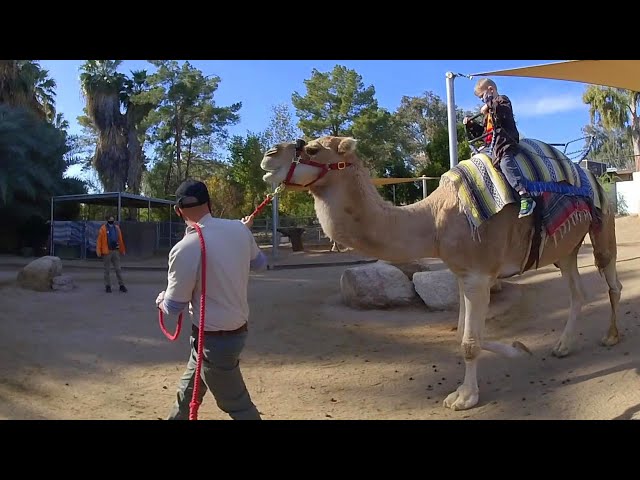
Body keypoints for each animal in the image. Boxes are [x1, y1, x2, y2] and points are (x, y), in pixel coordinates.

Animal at [258, 136, 620, 412]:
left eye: (312, 149)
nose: (268, 155)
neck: (433, 220)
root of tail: (589, 176)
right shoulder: (463, 274)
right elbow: (461, 332)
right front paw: (519, 349)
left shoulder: (478, 275)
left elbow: (470, 342)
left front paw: (464, 398)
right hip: (566, 250)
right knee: (577, 291)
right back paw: (563, 346)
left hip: (602, 219)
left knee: (610, 277)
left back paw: (611, 336)